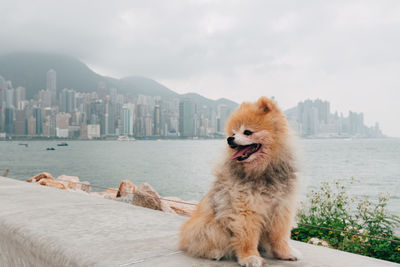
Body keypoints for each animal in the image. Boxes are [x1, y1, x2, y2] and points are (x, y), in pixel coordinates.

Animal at [180, 97, 302, 267]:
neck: (262, 170)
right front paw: (250, 257)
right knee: (202, 243)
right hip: (208, 227)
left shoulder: (281, 208)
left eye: (247, 132)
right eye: (233, 133)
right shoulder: (246, 209)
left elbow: (280, 236)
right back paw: (215, 253)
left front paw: (285, 253)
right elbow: (247, 236)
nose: (229, 139)